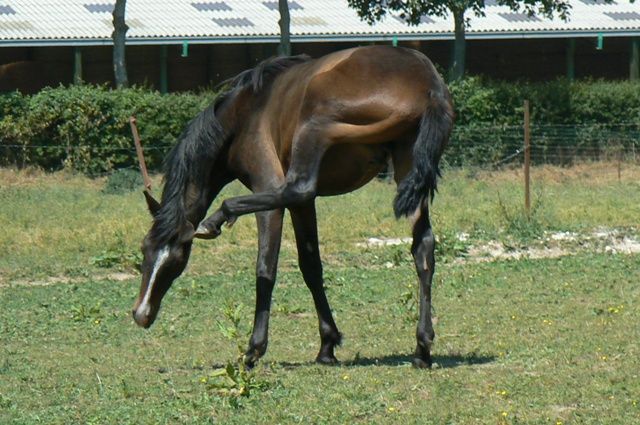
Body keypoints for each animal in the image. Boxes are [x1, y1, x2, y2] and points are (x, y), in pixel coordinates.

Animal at [132, 44, 452, 366]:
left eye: (176, 258)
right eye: (144, 250)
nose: (140, 314)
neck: (243, 114)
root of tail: (428, 83)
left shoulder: (268, 190)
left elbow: (265, 268)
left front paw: (254, 349)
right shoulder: (305, 207)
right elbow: (311, 265)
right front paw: (327, 345)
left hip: (316, 127)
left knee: (298, 187)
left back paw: (217, 217)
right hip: (407, 169)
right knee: (423, 247)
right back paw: (422, 347)